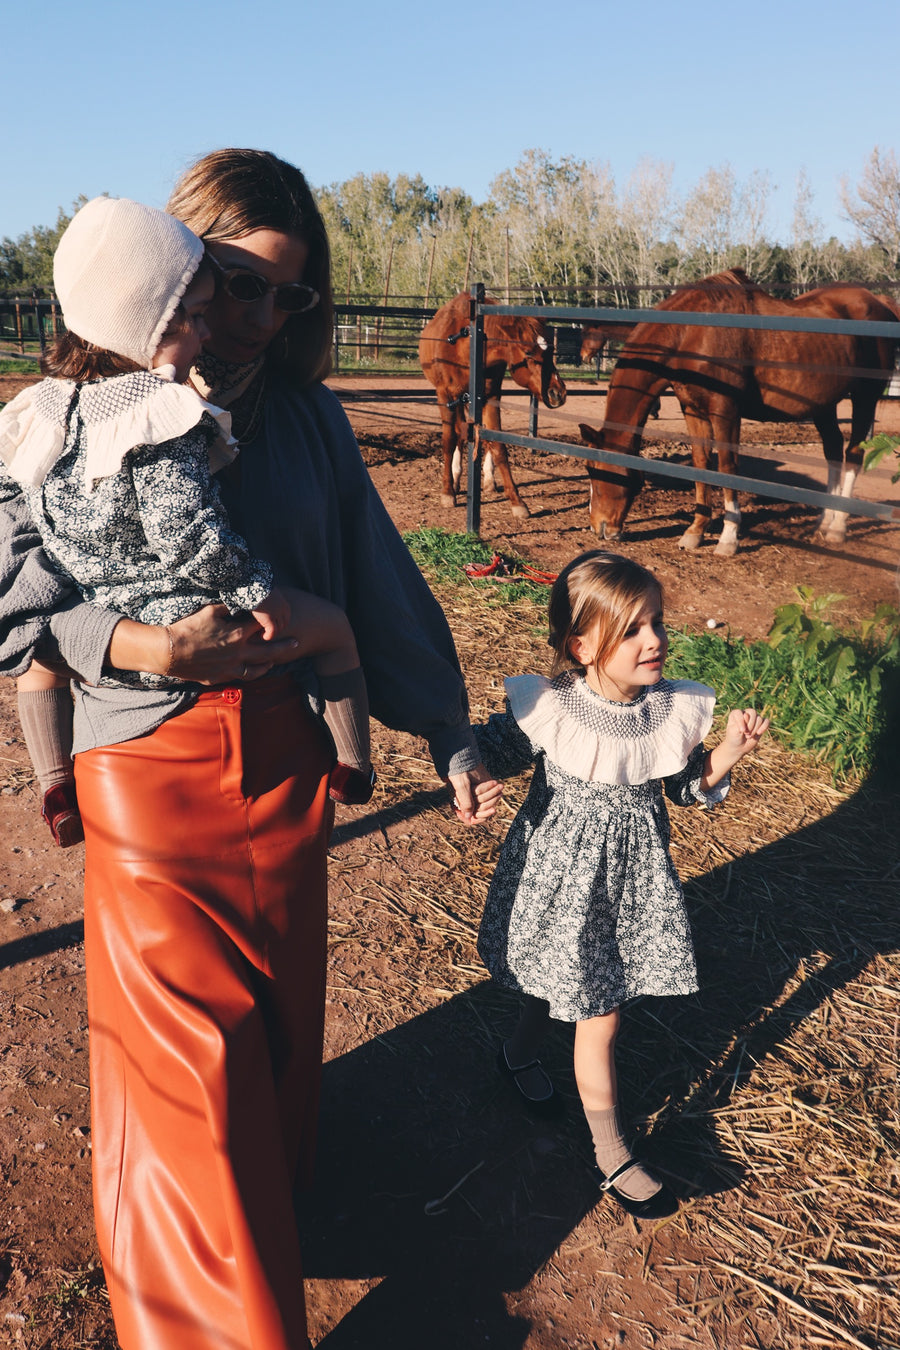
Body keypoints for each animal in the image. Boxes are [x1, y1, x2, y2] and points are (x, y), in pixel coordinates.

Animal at [418, 290, 566, 515]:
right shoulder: (445, 396)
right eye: (529, 353)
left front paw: (517, 502)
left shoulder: (490, 397)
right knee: (458, 431)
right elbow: (449, 439)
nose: (558, 392)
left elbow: (497, 444)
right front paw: (447, 492)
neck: (466, 347)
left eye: (551, 351)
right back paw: (456, 479)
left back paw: (488, 480)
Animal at [577, 271, 900, 556]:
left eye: (599, 471)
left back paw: (837, 528)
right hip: (824, 404)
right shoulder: (693, 410)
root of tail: (881, 302)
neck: (691, 333)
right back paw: (824, 521)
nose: (598, 527)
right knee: (833, 449)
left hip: (865, 397)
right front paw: (695, 532)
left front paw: (728, 538)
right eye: (588, 470)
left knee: (854, 453)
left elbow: (727, 467)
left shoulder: (725, 412)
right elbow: (700, 464)